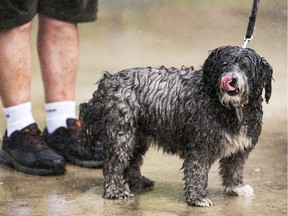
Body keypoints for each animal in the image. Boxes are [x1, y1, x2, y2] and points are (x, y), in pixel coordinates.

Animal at [79, 46, 272, 208]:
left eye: (246, 67)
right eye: (224, 64)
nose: (232, 79)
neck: (229, 107)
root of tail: (106, 82)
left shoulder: (240, 147)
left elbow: (234, 168)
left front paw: (236, 187)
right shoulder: (200, 146)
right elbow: (197, 172)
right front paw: (198, 198)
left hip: (137, 136)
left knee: (132, 160)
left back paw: (138, 181)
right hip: (122, 133)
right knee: (114, 163)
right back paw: (114, 190)